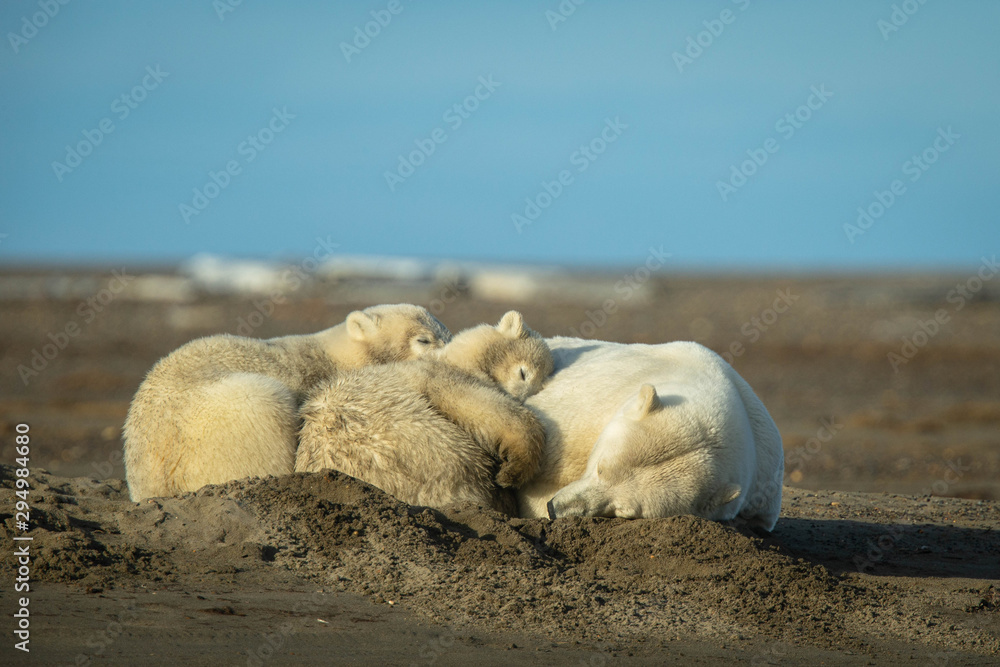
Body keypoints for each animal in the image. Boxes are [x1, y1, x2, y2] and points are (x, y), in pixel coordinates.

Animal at [295, 311, 553, 515]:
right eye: (523, 373)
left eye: (540, 385)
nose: (523, 397)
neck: (453, 357)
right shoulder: (441, 377)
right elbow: (492, 413)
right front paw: (511, 473)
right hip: (427, 447)